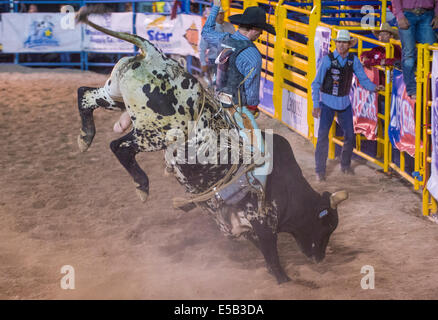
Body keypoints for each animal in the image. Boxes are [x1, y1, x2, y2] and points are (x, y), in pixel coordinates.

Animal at [76, 6, 350, 282]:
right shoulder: (262, 222)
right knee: (120, 147)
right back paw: (141, 185)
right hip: (156, 132)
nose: (319, 258)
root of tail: (156, 56)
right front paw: (286, 281)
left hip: (114, 95)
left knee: (84, 95)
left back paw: (85, 137)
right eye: (326, 225)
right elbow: (273, 261)